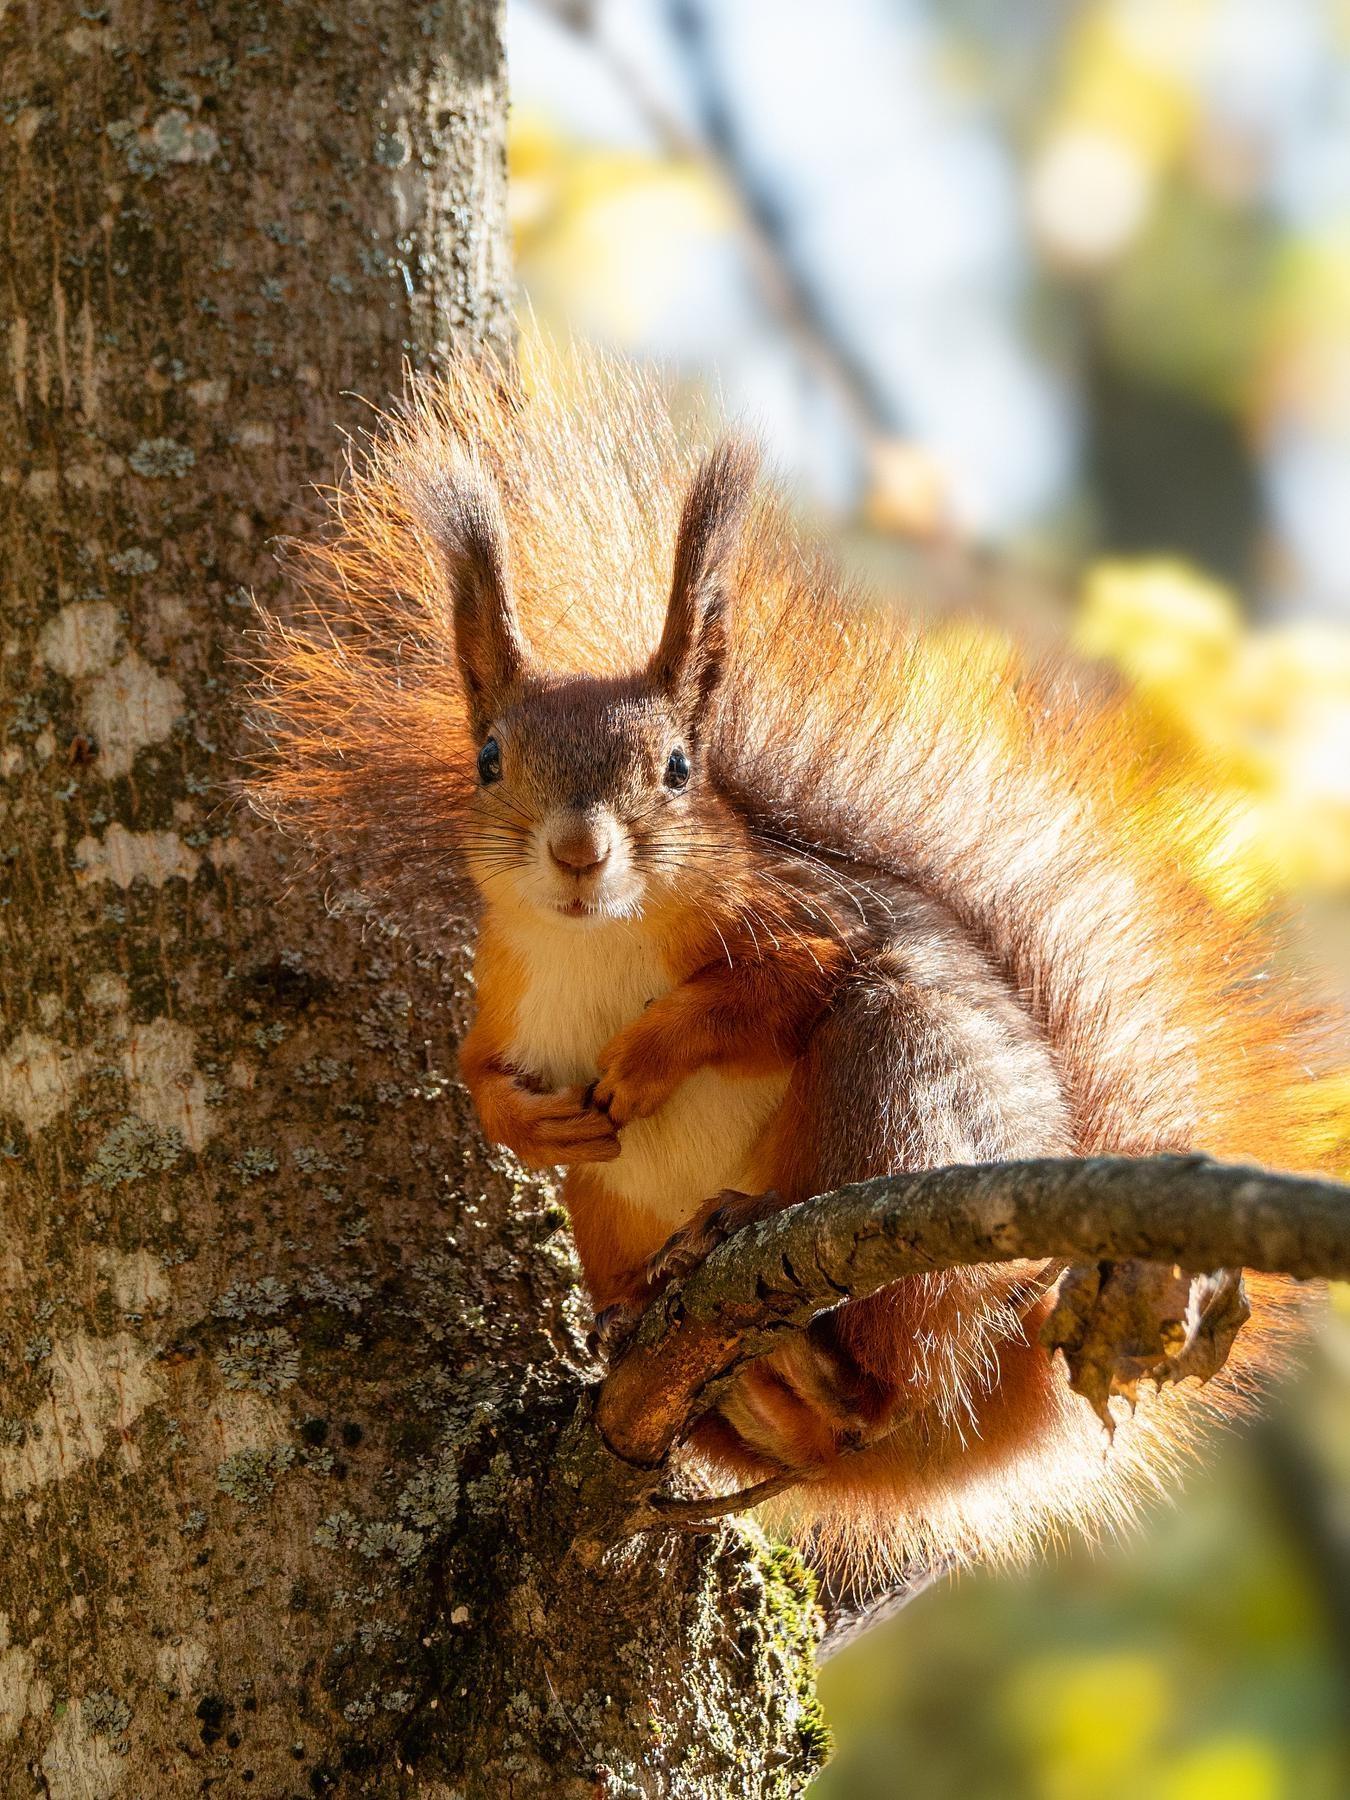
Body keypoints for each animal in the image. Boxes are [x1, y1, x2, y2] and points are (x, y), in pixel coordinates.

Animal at [253, 347, 1346, 1576]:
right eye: (488, 760)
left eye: (679, 769)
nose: (579, 852)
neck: (595, 935)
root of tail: (1007, 1348)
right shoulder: (502, 990)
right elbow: (476, 1076)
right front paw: (532, 1120)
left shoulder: (810, 923)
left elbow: (776, 992)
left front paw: (649, 1054)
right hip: (611, 1216)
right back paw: (683, 1343)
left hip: (897, 1091)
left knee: (886, 1371)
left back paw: (780, 1294)